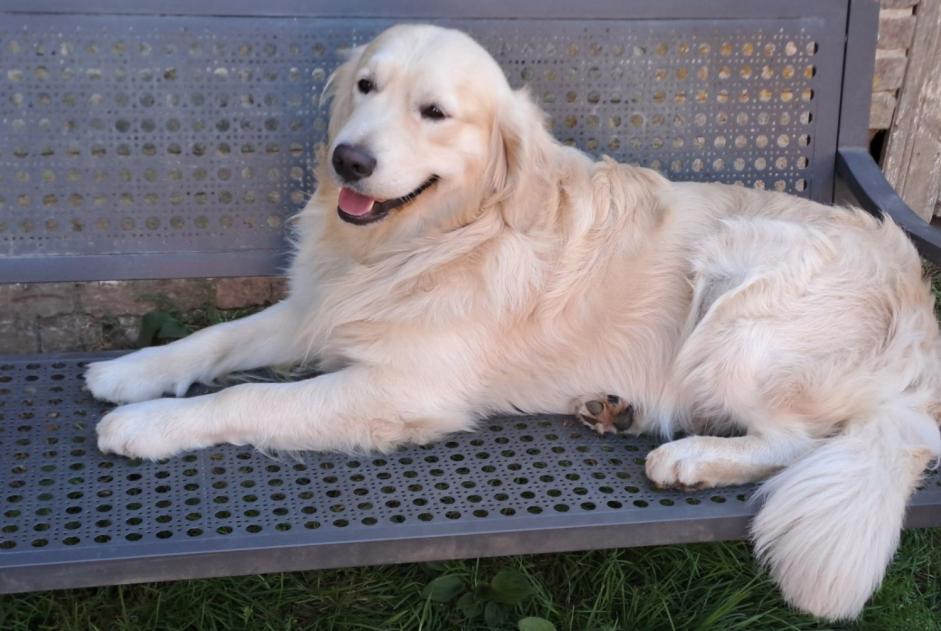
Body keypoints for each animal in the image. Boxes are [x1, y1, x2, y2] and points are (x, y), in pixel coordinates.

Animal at [82, 23, 940, 624]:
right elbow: (213, 338)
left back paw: (690, 456)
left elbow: (244, 397)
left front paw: (144, 425)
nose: (347, 160)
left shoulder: (400, 388)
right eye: (365, 85)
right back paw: (610, 407)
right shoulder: (315, 310)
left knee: (796, 438)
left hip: (737, 308)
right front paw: (129, 371)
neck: (428, 238)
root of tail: (918, 308)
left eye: (434, 112)